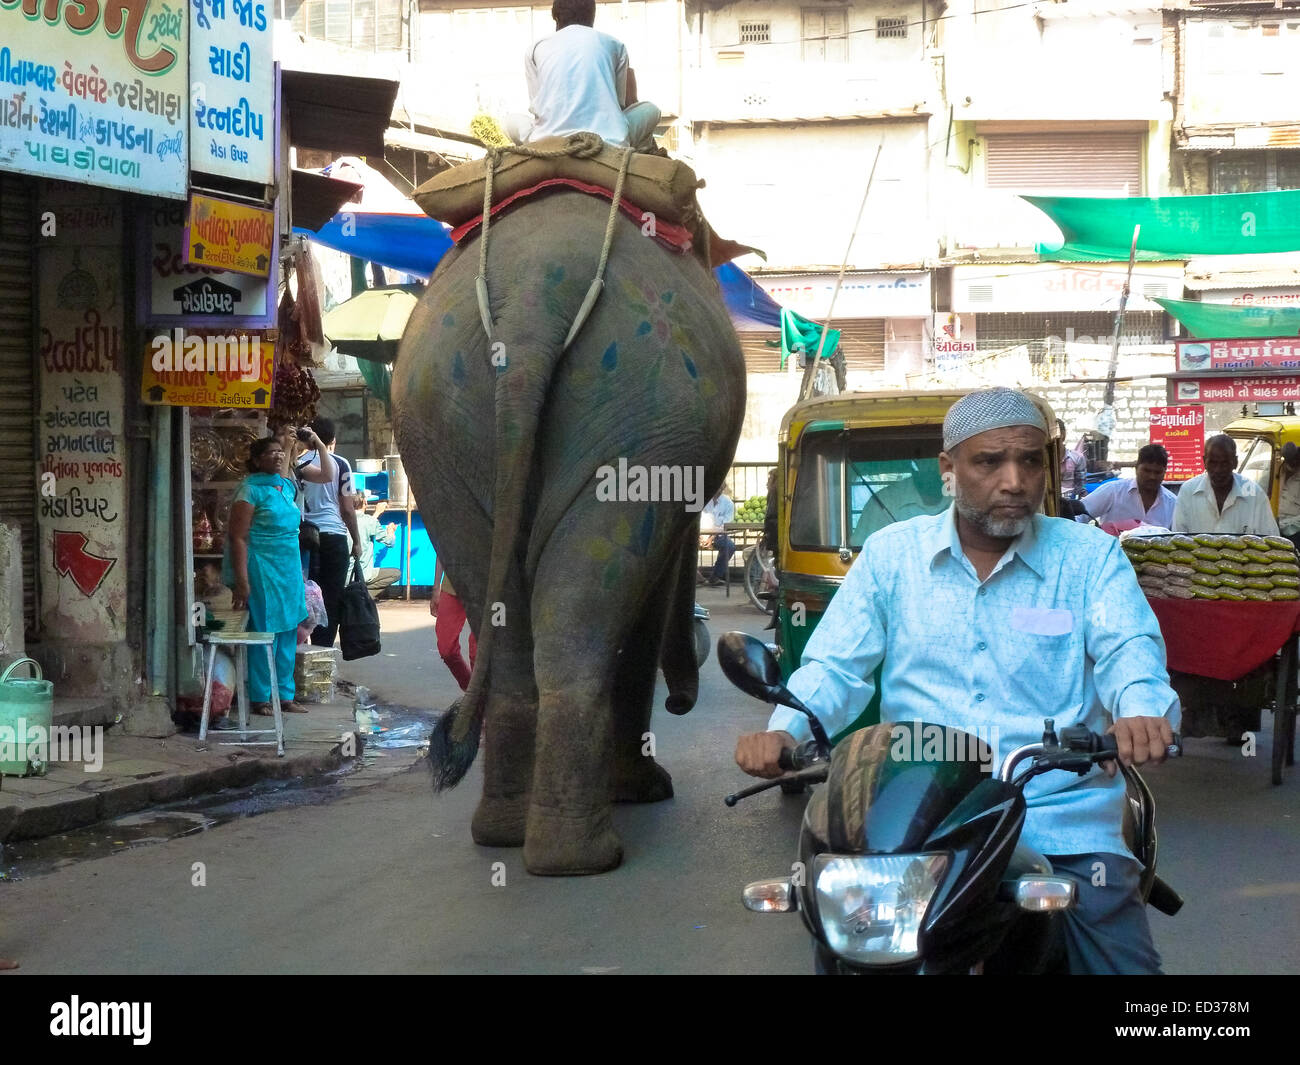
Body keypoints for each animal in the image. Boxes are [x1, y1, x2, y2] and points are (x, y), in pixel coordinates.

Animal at [390, 187, 748, 879]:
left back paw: (510, 833)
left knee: (507, 610)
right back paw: (584, 854)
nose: (683, 702)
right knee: (588, 606)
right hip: (644, 419)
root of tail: (530, 300)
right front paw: (643, 790)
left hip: (439, 431)